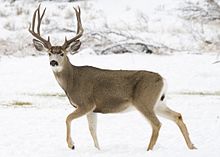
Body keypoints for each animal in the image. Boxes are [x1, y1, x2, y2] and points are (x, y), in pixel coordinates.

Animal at [28, 5, 195, 150]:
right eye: (49, 53)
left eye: (62, 53)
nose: (53, 62)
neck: (72, 81)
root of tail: (163, 79)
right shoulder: (93, 109)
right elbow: (92, 130)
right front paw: (98, 150)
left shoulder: (86, 103)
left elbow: (68, 118)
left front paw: (72, 145)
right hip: (158, 102)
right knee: (177, 116)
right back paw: (192, 146)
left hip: (144, 101)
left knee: (157, 124)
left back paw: (149, 150)